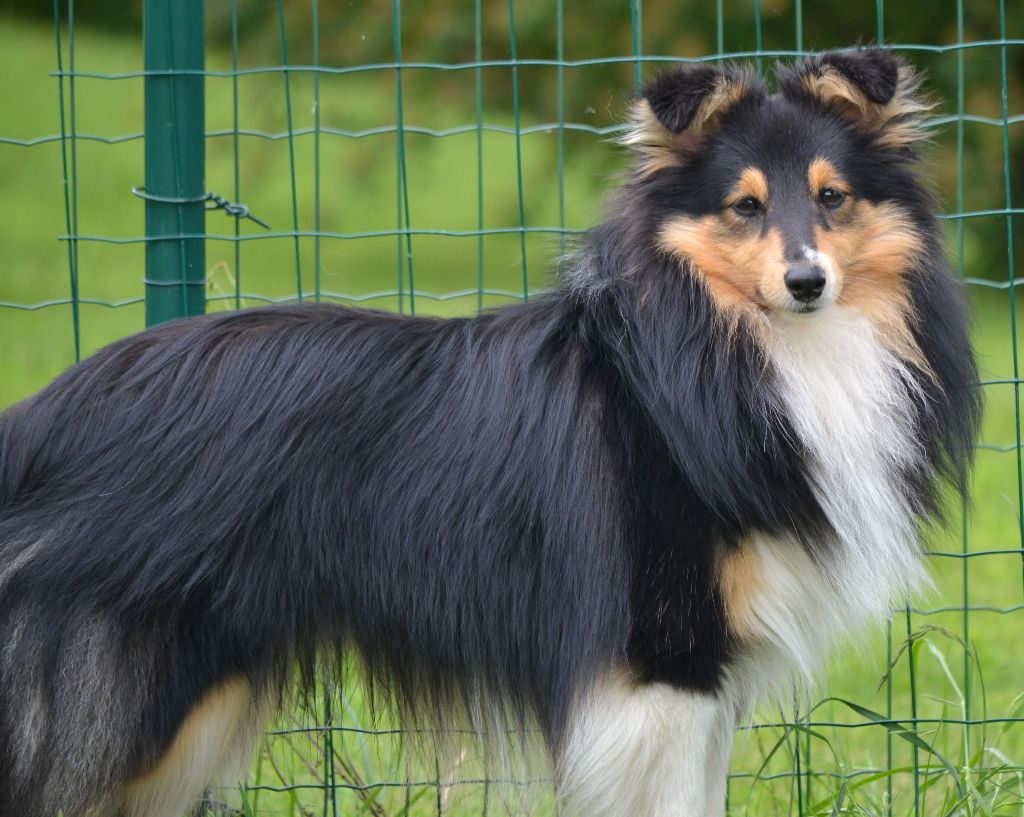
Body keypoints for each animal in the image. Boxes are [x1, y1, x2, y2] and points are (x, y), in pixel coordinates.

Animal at [0, 51, 978, 817]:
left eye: (832, 197)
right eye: (744, 207)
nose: (808, 282)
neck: (732, 349)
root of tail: (40, 413)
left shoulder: (706, 680)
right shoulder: (663, 660)